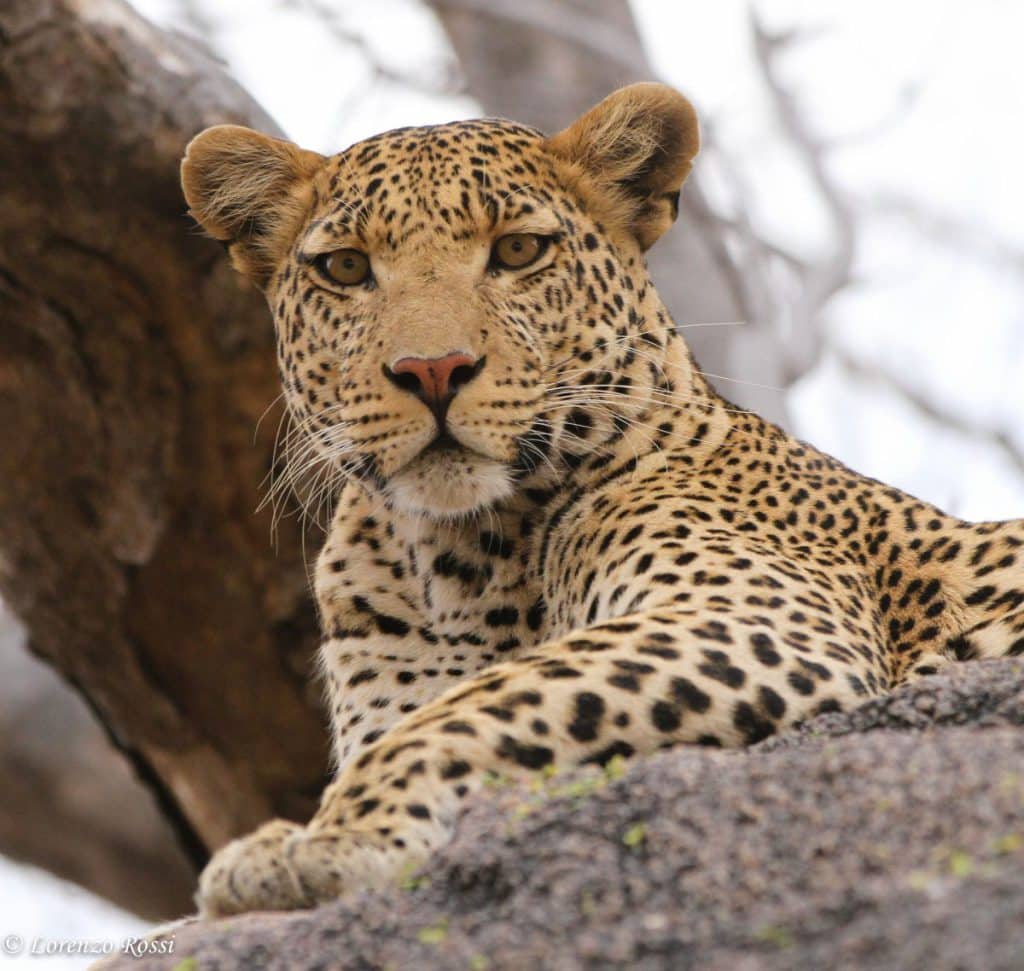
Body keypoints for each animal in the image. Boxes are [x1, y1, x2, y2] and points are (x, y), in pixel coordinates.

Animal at [180, 83, 1024, 917]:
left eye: (518, 250)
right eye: (348, 267)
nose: (433, 370)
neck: (460, 560)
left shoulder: (763, 615)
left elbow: (486, 701)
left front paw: (333, 836)